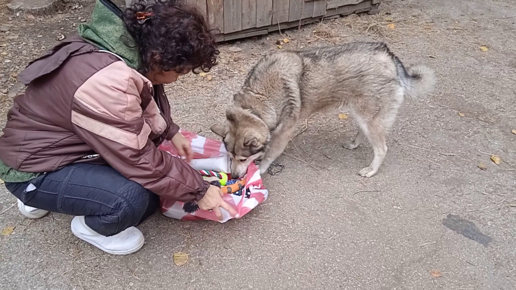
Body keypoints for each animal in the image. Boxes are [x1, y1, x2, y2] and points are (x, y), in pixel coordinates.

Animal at [212, 42, 438, 178]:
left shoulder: (283, 135)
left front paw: (260, 169)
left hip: (371, 119)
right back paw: (354, 143)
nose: (233, 176)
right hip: (361, 115)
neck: (257, 102)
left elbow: (269, 155)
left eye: (242, 158)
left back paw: (371, 170)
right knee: (364, 133)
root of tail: (388, 55)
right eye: (229, 156)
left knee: (381, 148)